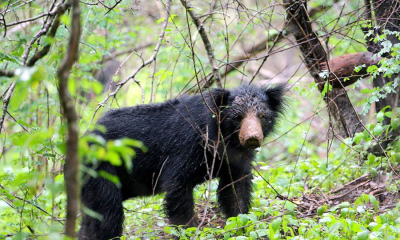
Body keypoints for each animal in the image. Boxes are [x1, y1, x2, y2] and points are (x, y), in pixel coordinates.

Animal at [77, 83, 284, 239]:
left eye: (262, 116)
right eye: (237, 117)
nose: (252, 138)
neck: (224, 139)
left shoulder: (236, 159)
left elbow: (235, 190)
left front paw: (242, 225)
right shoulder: (186, 147)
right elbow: (178, 188)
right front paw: (191, 231)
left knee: (90, 221)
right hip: (102, 172)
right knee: (108, 214)